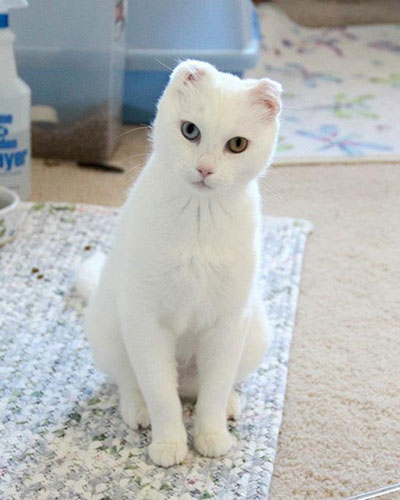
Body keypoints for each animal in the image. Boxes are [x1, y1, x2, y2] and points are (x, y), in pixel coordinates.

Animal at [75, 59, 282, 468]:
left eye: (237, 145)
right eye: (190, 131)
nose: (205, 169)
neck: (199, 217)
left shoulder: (228, 323)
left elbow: (214, 391)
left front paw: (211, 435)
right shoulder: (146, 320)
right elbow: (160, 394)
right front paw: (169, 443)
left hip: (255, 332)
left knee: (210, 388)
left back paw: (229, 405)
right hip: (109, 329)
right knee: (130, 380)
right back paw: (136, 410)